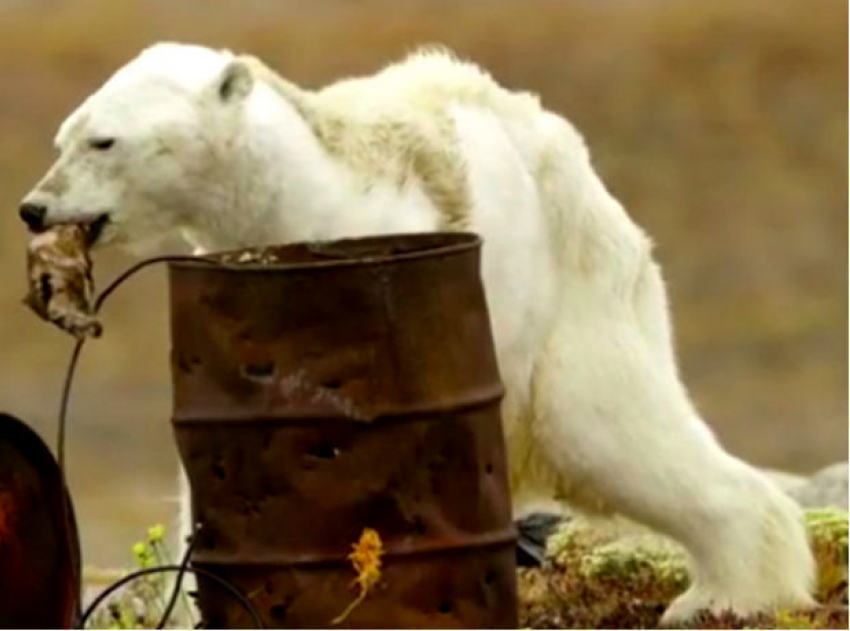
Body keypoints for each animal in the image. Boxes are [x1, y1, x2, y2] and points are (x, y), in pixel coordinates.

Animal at [19, 43, 816, 624]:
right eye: (63, 135)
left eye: (104, 140)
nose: (33, 206)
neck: (293, 197)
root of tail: (570, 150)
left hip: (572, 291)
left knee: (614, 430)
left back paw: (723, 594)